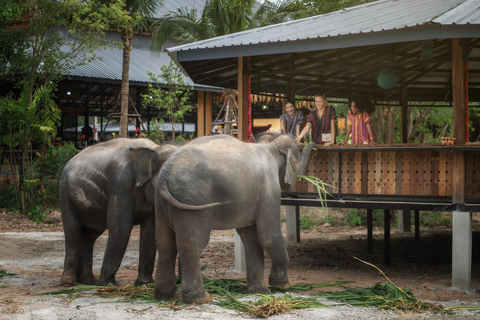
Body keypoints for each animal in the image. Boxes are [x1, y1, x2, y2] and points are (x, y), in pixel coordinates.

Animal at [59, 139, 177, 286]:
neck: (155, 148)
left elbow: (150, 231)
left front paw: (145, 284)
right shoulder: (121, 184)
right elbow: (120, 227)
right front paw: (108, 284)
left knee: (90, 237)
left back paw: (88, 281)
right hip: (66, 195)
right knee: (73, 233)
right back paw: (69, 281)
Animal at [153, 134, 316, 304]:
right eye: (297, 159)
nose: (314, 143)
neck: (270, 145)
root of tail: (165, 176)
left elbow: (250, 237)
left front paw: (259, 291)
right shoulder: (269, 190)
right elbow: (268, 236)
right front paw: (281, 286)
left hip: (161, 204)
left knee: (166, 246)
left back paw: (165, 296)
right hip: (191, 203)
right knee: (193, 245)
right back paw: (201, 299)